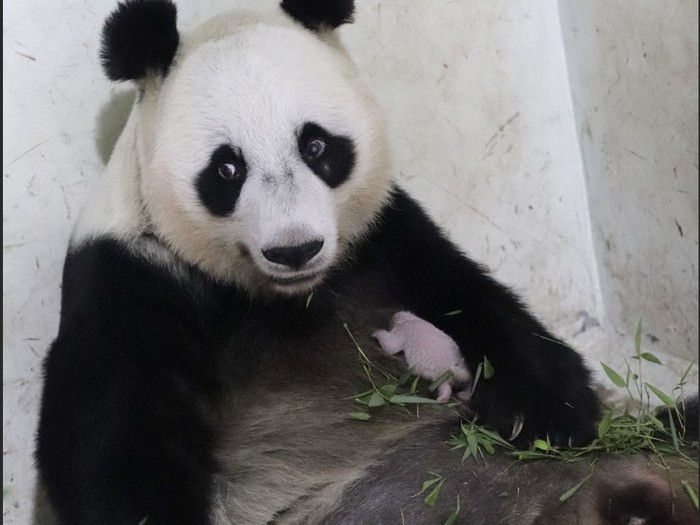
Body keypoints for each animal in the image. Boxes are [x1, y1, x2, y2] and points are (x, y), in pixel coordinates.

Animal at [34, 0, 611, 523]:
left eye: (315, 146)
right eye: (226, 168)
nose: (295, 250)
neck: (286, 297)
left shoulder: (381, 234)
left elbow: (465, 294)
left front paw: (547, 412)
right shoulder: (130, 274)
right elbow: (116, 442)